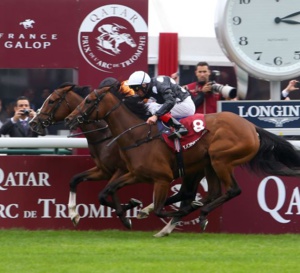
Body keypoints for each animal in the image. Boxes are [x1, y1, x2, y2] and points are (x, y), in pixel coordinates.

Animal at [29, 83, 143, 227]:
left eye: (51, 101)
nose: (32, 123)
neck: (104, 135)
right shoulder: (104, 170)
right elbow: (75, 180)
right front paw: (74, 215)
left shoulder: (122, 169)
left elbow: (105, 193)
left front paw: (126, 215)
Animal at [65, 85, 300, 230]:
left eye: (89, 100)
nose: (69, 119)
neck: (137, 135)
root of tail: (251, 127)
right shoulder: (134, 173)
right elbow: (107, 191)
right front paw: (129, 209)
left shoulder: (161, 178)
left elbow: (161, 210)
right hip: (208, 164)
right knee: (212, 192)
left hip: (220, 159)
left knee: (232, 190)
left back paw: (200, 213)